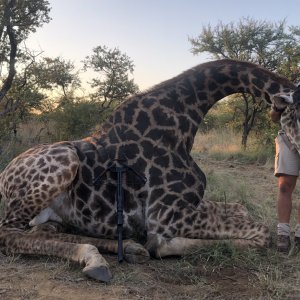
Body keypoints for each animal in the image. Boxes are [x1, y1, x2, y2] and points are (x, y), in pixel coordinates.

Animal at [0, 59, 296, 282]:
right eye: (297, 114)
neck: (182, 129)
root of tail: (4, 176)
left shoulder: (190, 203)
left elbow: (241, 209)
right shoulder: (166, 214)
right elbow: (261, 233)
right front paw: (159, 244)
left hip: (53, 214)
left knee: (42, 231)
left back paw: (123, 249)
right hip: (66, 160)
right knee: (9, 235)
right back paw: (98, 258)